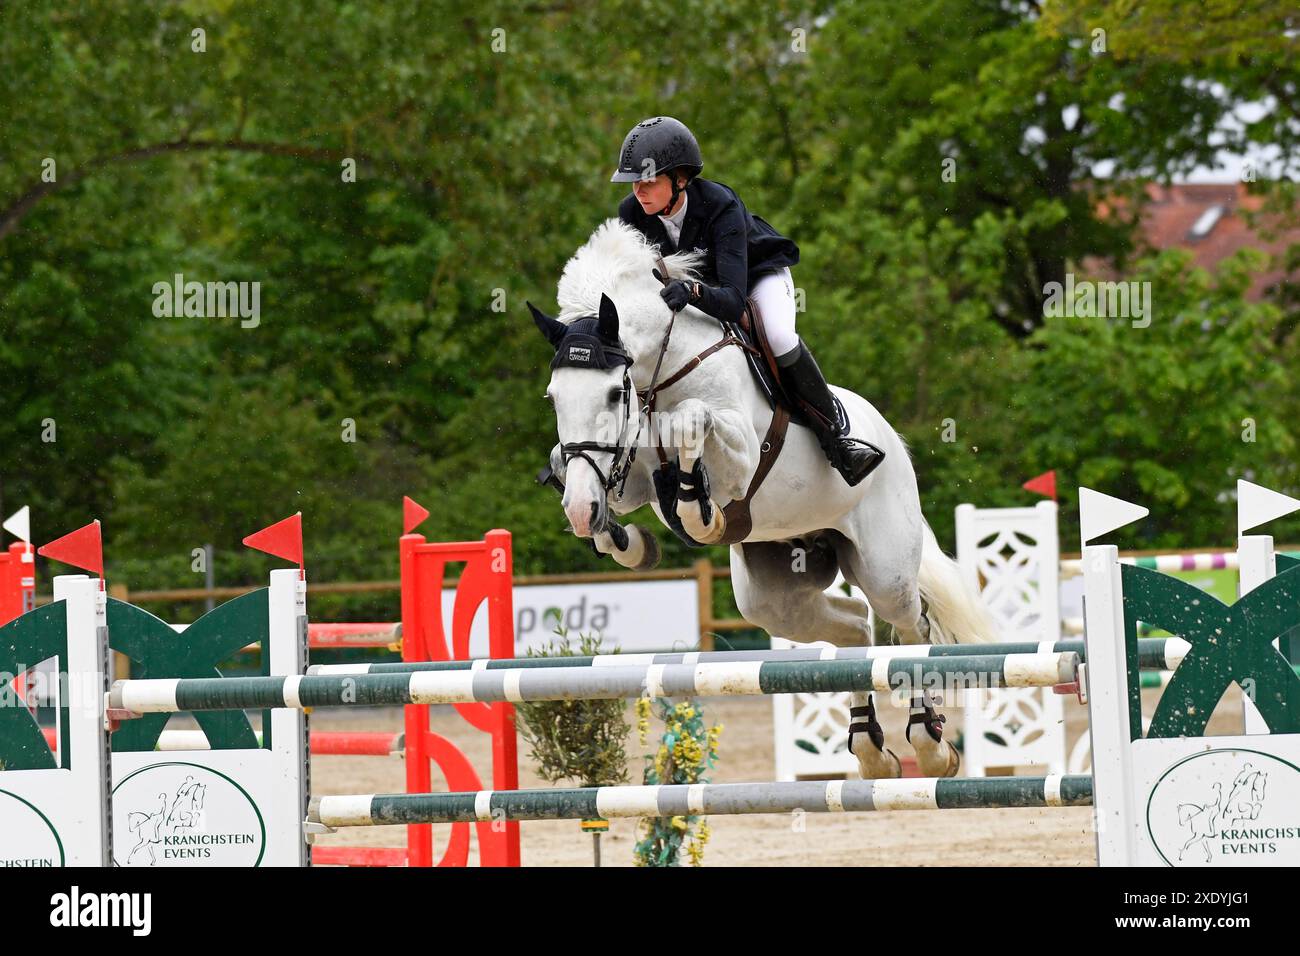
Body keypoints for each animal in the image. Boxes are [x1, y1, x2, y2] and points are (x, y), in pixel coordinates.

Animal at [527, 218, 993, 780]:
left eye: (614, 394)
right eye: (554, 397)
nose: (581, 510)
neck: (663, 369)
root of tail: (894, 442)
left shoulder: (742, 452)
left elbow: (690, 423)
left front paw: (699, 514)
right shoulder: (628, 472)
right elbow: (571, 464)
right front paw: (624, 539)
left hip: (885, 570)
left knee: (911, 624)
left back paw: (930, 745)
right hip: (776, 598)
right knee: (856, 629)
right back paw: (871, 751)